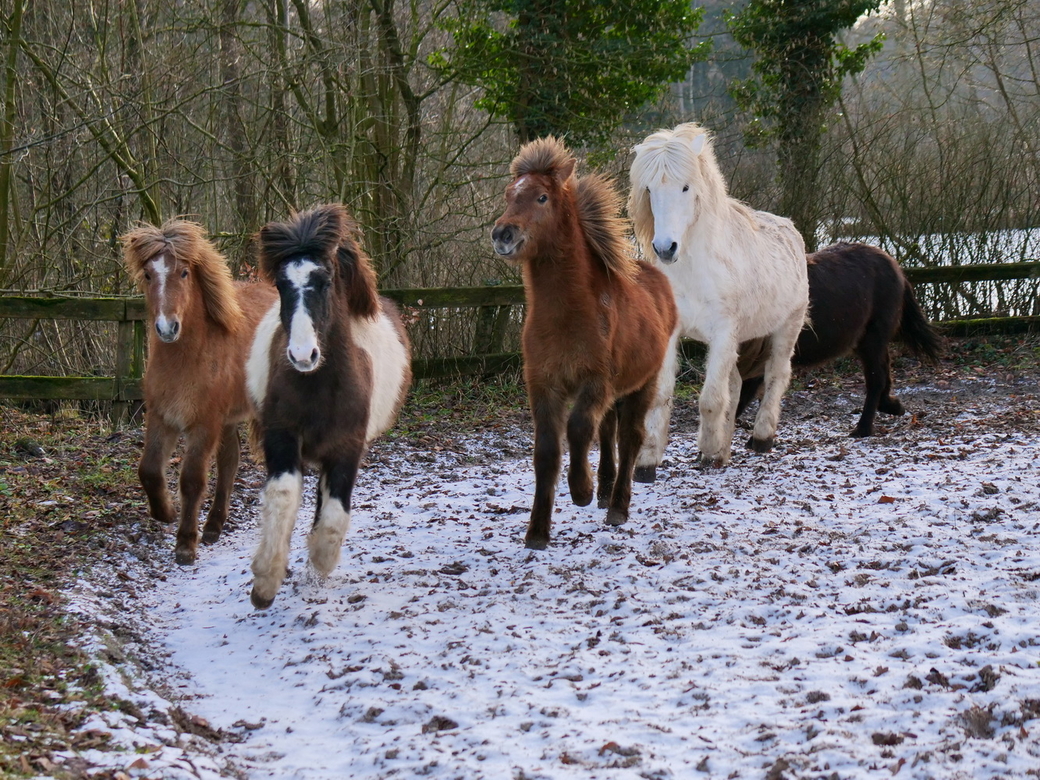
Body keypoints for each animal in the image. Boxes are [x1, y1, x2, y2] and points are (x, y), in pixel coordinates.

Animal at [122, 220, 276, 569]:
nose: (167, 328)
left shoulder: (204, 424)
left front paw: (185, 544)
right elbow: (148, 470)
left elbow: (192, 479)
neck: (187, 359)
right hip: (228, 418)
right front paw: (165, 512)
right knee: (230, 460)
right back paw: (214, 526)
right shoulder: (162, 417)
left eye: (183, 272)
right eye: (148, 274)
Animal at [246, 204, 409, 607]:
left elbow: (334, 514)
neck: (319, 386)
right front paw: (265, 582)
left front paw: (319, 563)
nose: (303, 355)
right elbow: (284, 495)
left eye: (326, 280)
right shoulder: (282, 435)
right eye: (281, 285)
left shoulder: (348, 446)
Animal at [492, 136, 682, 549]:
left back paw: (617, 506)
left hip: (644, 383)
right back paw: (607, 490)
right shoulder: (543, 385)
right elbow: (547, 452)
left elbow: (578, 428)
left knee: (629, 438)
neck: (567, 315)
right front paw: (537, 531)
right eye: (508, 194)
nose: (503, 235)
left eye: (542, 197)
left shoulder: (595, 382)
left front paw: (581, 489)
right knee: (608, 432)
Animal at [624, 123, 811, 470]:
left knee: (776, 375)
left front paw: (709, 449)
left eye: (686, 187)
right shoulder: (672, 333)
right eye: (649, 190)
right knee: (735, 385)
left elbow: (710, 399)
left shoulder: (724, 333)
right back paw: (725, 449)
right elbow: (662, 395)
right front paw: (648, 460)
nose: (665, 248)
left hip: (786, 328)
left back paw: (761, 437)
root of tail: (789, 227)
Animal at [740, 243, 944, 436]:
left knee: (876, 378)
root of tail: (892, 264)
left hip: (873, 337)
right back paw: (892, 407)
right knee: (884, 370)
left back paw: (863, 429)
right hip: (867, 340)